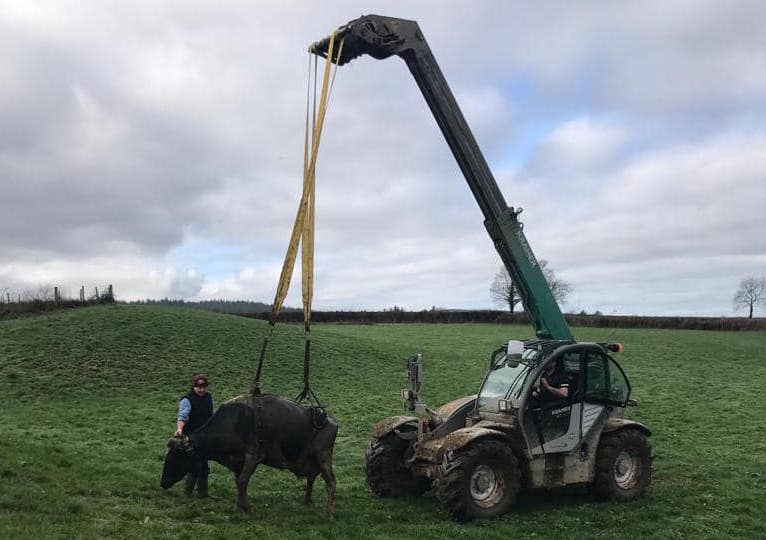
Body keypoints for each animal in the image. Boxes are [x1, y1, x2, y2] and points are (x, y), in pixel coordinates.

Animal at [160, 392, 338, 516]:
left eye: (176, 456)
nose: (163, 482)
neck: (233, 422)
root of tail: (327, 418)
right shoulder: (237, 461)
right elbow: (239, 481)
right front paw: (240, 506)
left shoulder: (253, 455)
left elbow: (242, 481)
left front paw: (247, 507)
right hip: (312, 460)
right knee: (311, 478)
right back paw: (307, 501)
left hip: (323, 455)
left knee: (330, 482)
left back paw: (329, 514)